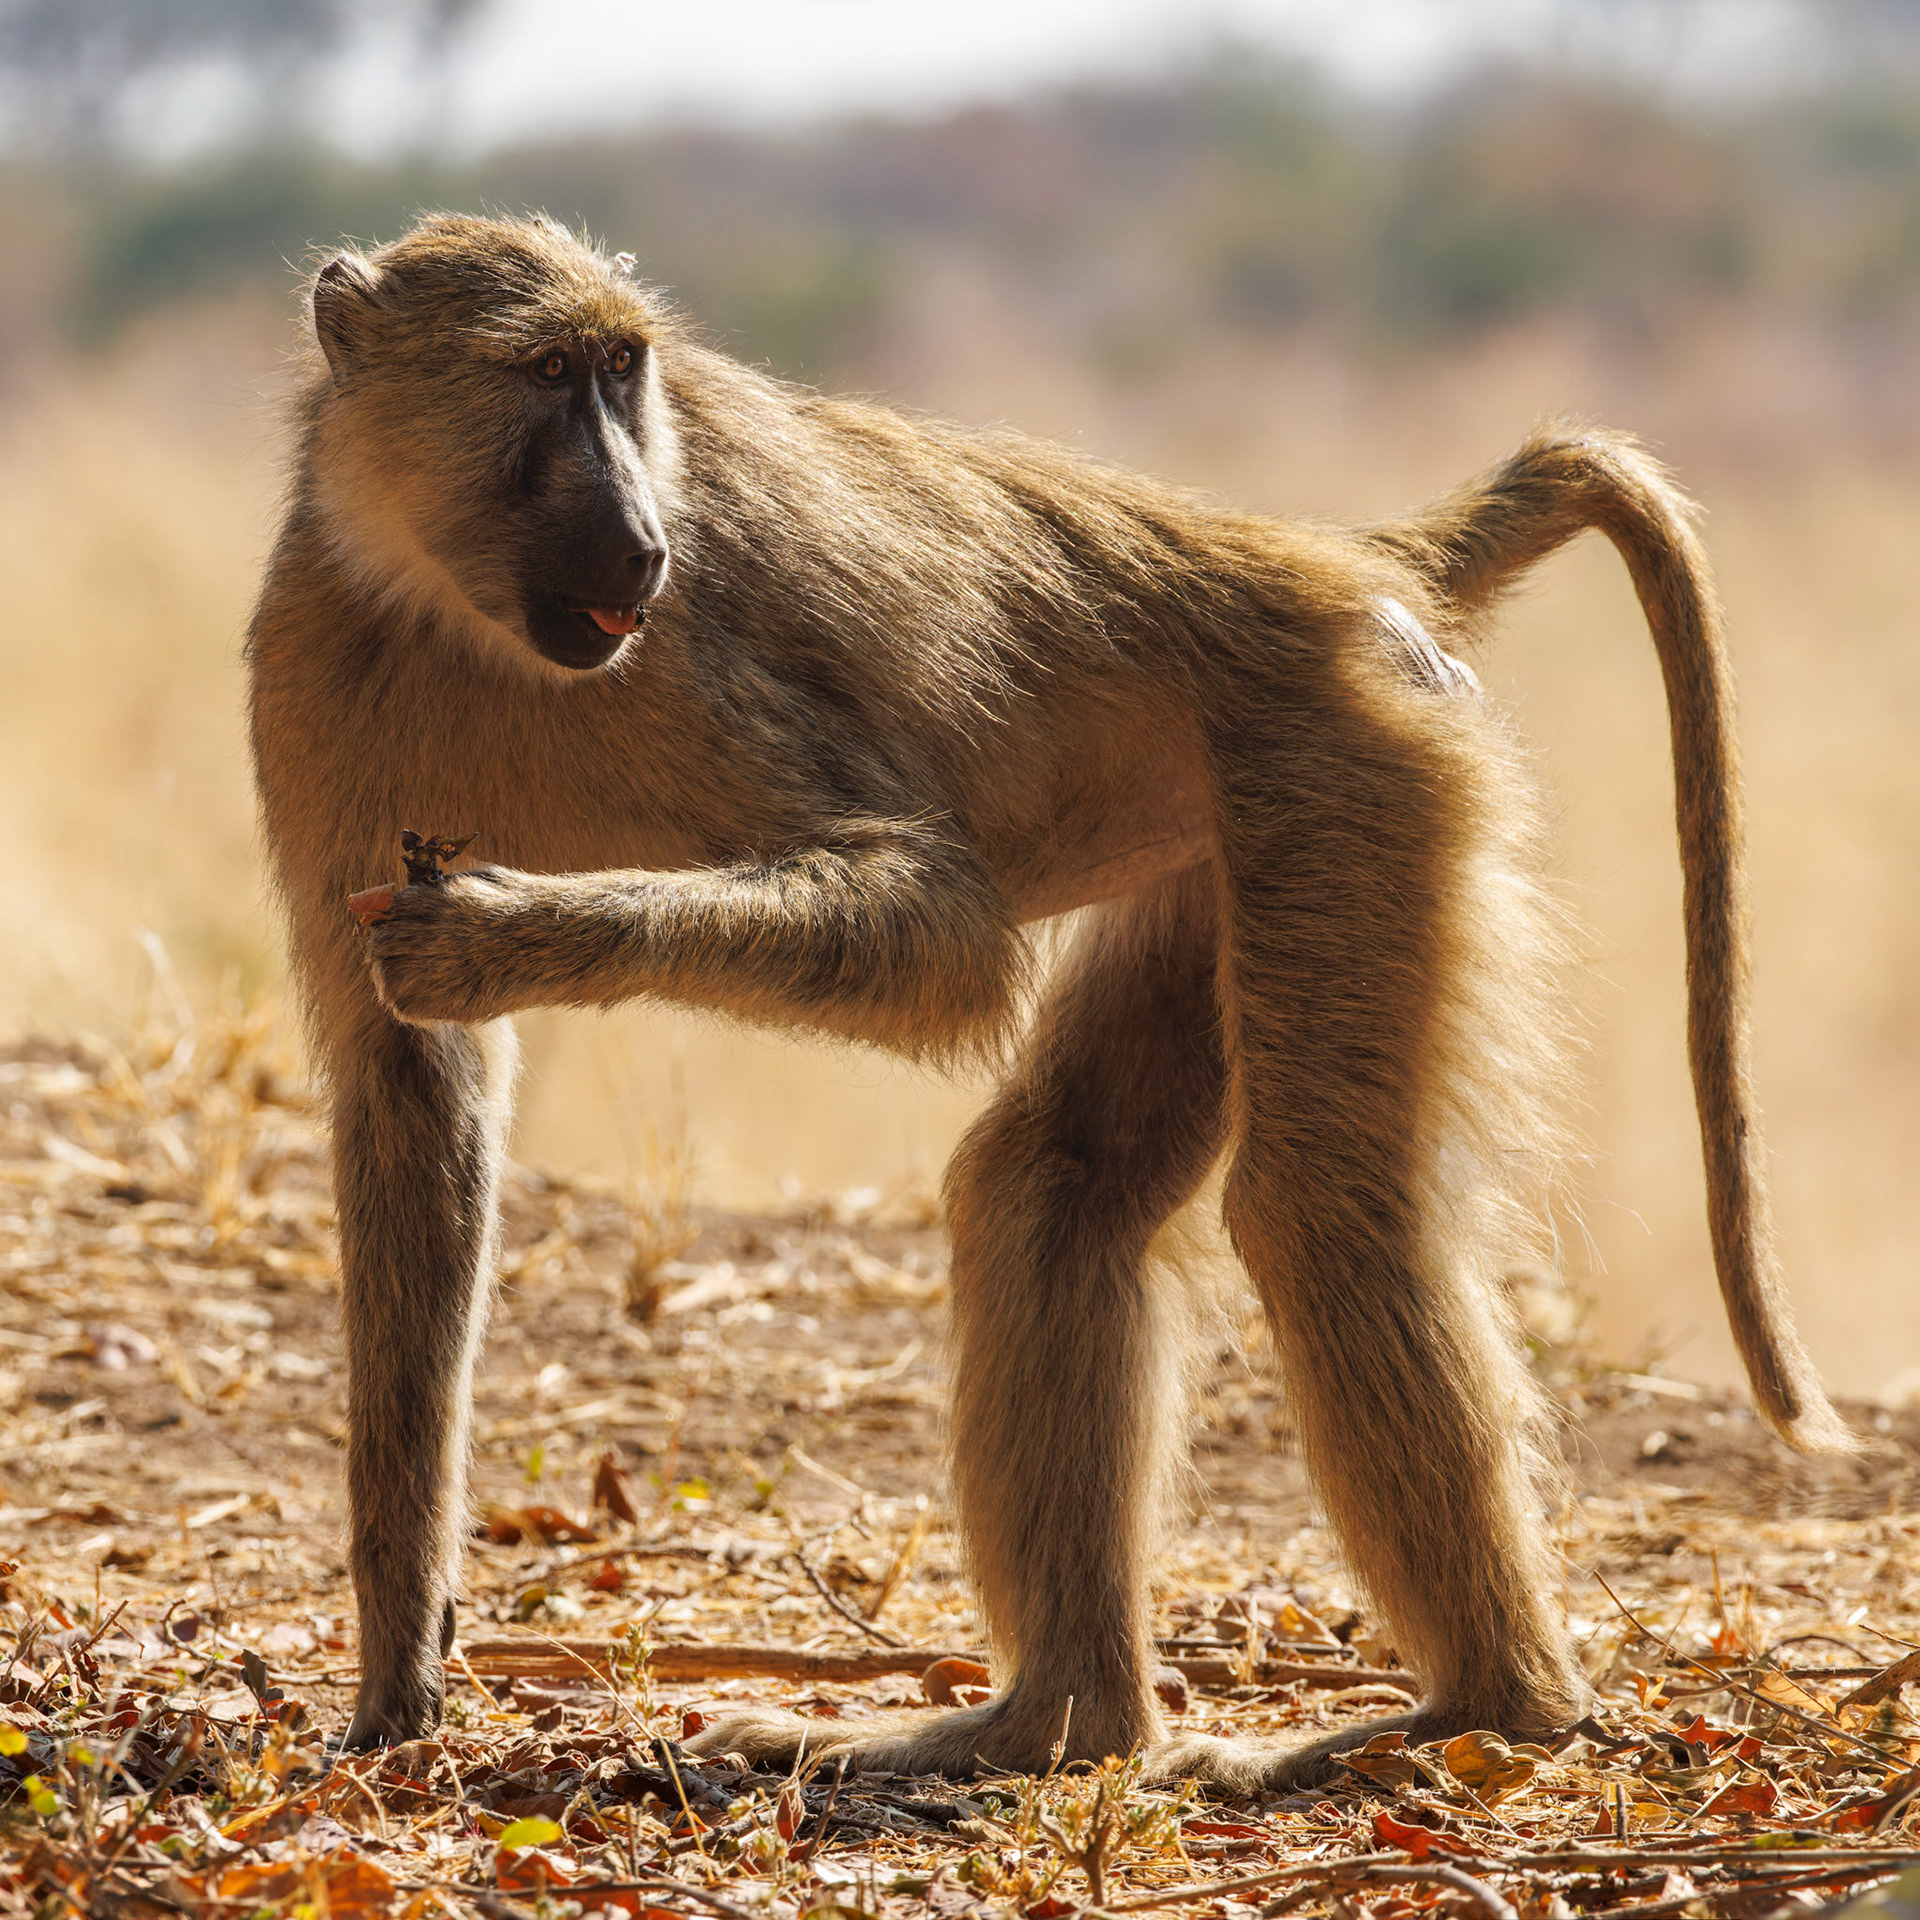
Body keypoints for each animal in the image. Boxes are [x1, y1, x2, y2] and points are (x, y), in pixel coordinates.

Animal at [246, 212, 1847, 1785]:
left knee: (1322, 1215)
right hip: (1229, 828)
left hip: (1352, 759)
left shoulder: (685, 665)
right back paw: (1047, 1722)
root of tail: (1337, 561)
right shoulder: (311, 668)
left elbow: (942, 933)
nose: (644, 543)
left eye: (622, 373)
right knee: (1056, 1181)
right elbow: (410, 1106)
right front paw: (394, 1679)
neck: (443, 602)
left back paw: (1484, 1711)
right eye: (543, 375)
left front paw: (499, 934)